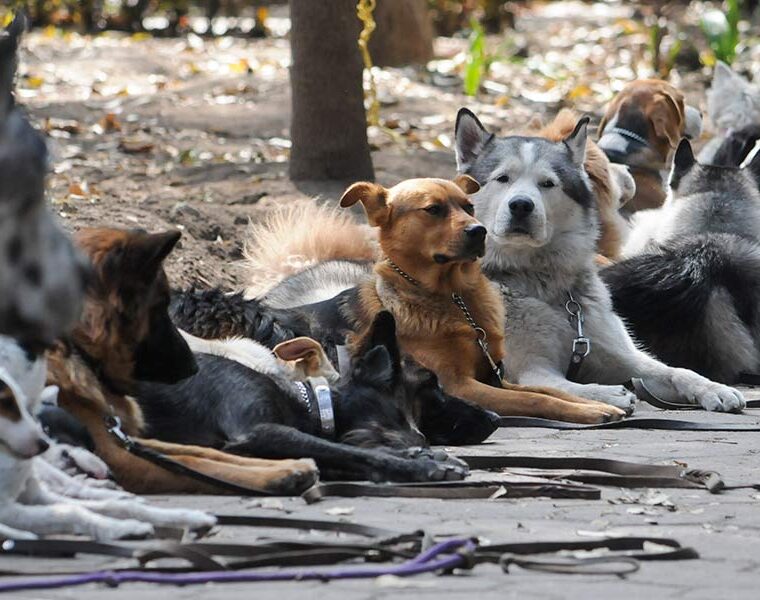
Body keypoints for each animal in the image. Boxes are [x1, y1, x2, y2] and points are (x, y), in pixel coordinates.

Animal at [0, 336, 214, 540]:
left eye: (92, 446)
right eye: (45, 428)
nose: (108, 472)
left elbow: (106, 507)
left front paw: (189, 518)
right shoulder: (10, 508)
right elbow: (72, 512)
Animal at [46, 227, 320, 494]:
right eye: (158, 311)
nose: (192, 367)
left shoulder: (130, 440)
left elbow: (202, 455)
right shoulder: (117, 455)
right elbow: (200, 467)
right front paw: (280, 475)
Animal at [338, 176, 624, 424]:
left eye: (469, 207)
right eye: (433, 209)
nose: (480, 231)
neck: (455, 298)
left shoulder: (494, 376)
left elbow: (548, 391)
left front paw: (596, 404)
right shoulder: (458, 386)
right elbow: (534, 399)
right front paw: (587, 410)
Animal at [454, 109, 744, 412]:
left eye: (547, 183)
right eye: (502, 178)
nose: (521, 205)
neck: (543, 284)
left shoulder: (621, 354)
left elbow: (674, 371)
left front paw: (712, 388)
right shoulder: (527, 370)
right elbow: (564, 387)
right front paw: (609, 394)